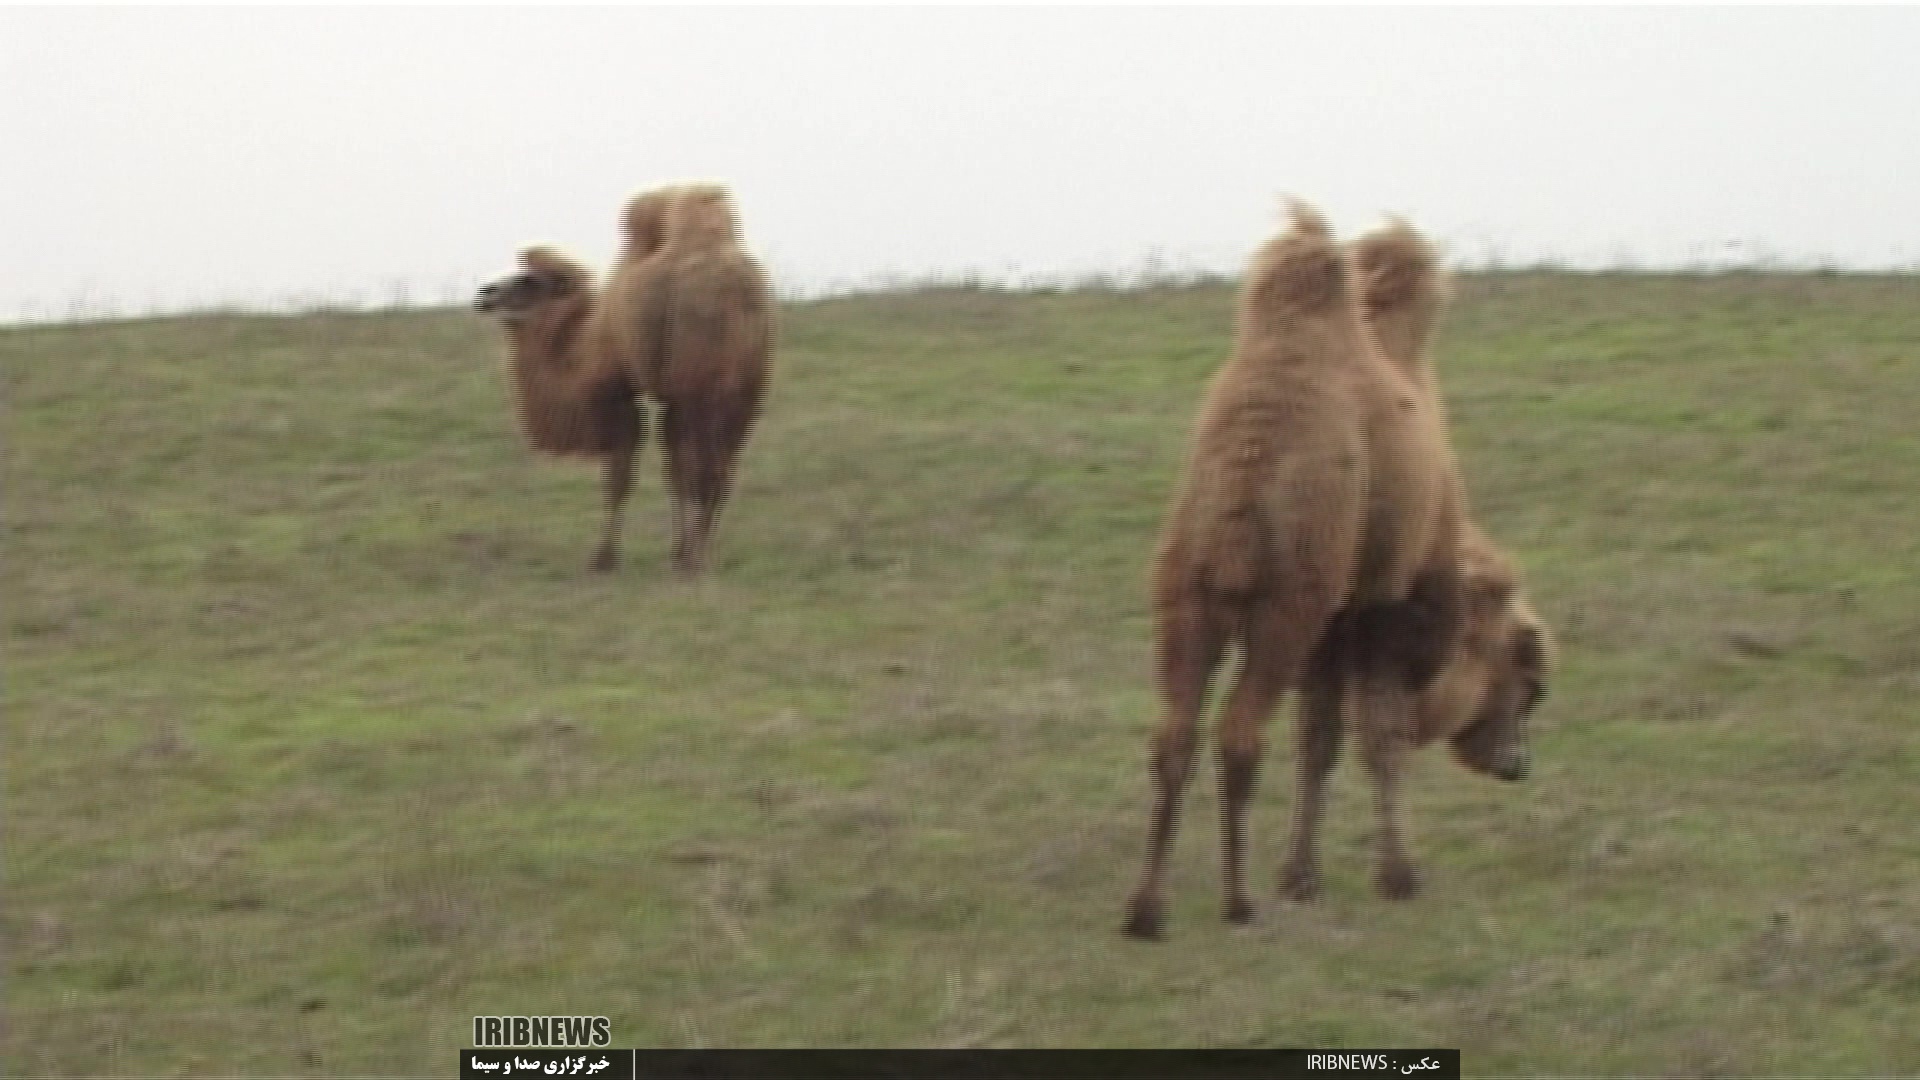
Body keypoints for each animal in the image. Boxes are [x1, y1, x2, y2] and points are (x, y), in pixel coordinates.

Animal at [476, 184, 774, 576]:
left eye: (529, 281)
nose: (485, 294)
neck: (585, 342)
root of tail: (734, 290)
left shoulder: (617, 394)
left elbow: (619, 476)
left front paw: (604, 558)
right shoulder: (666, 399)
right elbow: (673, 471)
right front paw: (675, 552)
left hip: (700, 388)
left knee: (707, 467)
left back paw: (696, 559)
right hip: (746, 389)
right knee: (721, 467)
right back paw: (700, 554)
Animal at [1124, 202, 1521, 939]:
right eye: (1525, 667)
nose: (1517, 761)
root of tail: (1245, 474)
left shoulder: (1335, 625)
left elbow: (1321, 738)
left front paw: (1302, 877)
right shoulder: (1382, 608)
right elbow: (1378, 735)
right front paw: (1397, 876)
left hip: (1187, 588)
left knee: (1175, 732)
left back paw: (1146, 909)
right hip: (1286, 600)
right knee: (1240, 731)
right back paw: (1237, 902)